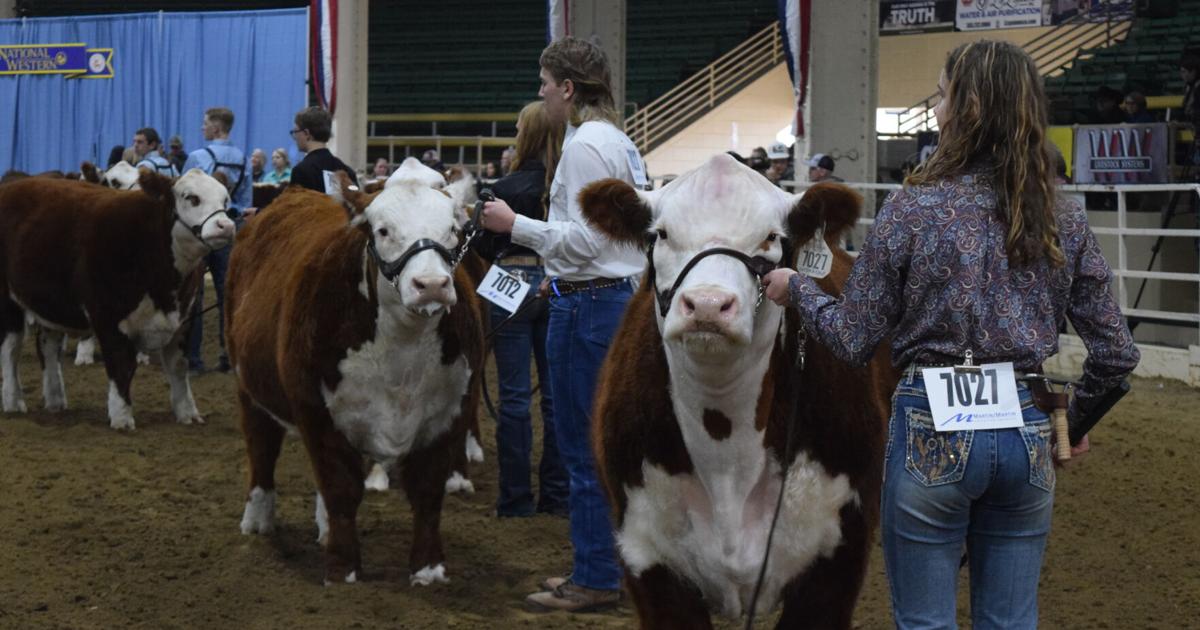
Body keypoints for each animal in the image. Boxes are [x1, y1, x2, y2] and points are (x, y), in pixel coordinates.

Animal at [0, 168, 236, 427]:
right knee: (10, 350)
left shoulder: (183, 319)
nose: (226, 226)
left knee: (48, 347)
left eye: (225, 200)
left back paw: (55, 401)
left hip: (52, 304)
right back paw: (13, 402)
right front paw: (122, 417)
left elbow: (178, 367)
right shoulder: (108, 316)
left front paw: (187, 413)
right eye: (191, 197)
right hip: (7, 302)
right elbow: (121, 365)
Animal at [225, 170, 482, 585]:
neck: (402, 350)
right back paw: (258, 518)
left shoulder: (452, 410)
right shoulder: (316, 409)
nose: (431, 285)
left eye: (453, 230)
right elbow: (341, 487)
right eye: (383, 230)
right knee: (261, 445)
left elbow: (428, 491)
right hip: (247, 383)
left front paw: (428, 570)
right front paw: (342, 569)